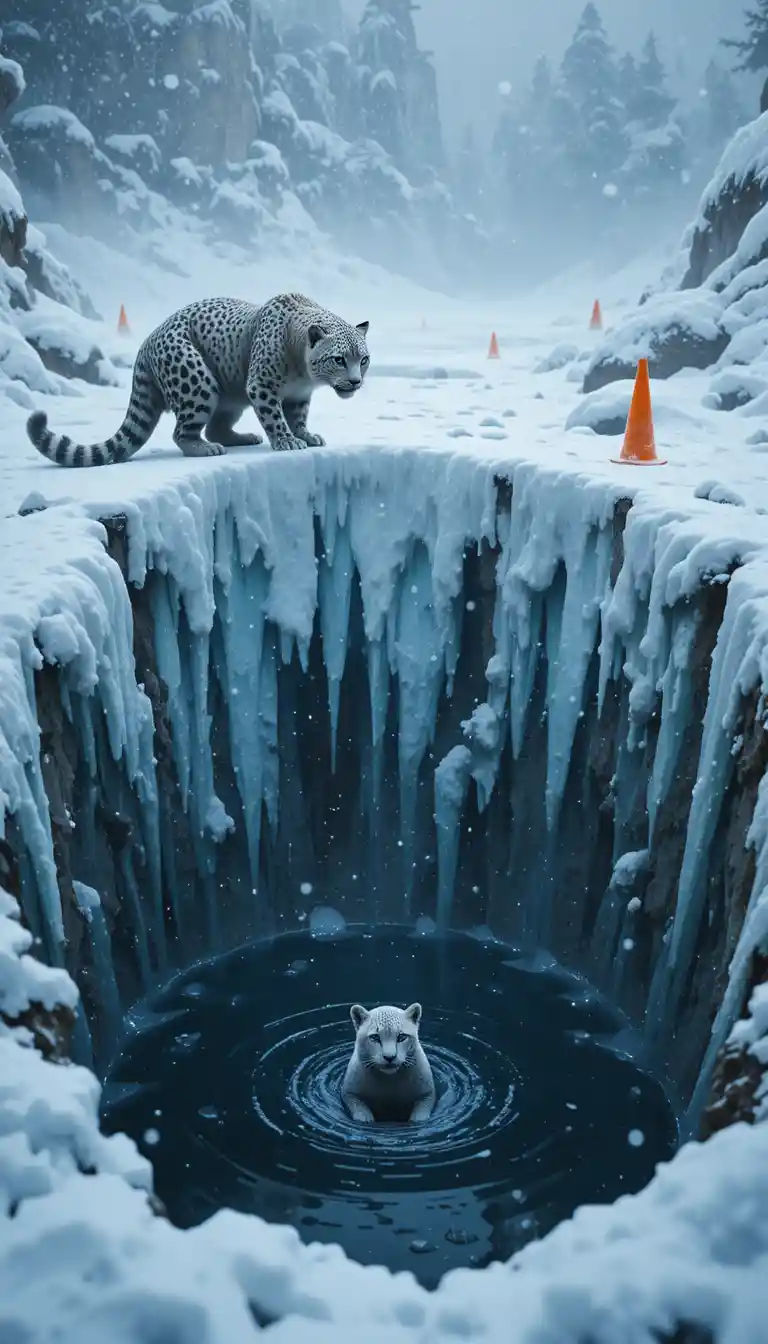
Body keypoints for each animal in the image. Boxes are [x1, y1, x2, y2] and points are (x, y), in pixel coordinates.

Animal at [26, 292, 370, 468]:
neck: (302, 372)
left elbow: (297, 416)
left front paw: (306, 435)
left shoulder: (298, 395)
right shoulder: (261, 385)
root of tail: (145, 344)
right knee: (182, 432)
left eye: (363, 359)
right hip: (198, 383)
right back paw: (206, 448)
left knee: (217, 425)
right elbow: (274, 416)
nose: (355, 382)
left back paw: (242, 437)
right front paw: (287, 441)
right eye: (339, 359)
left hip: (229, 396)